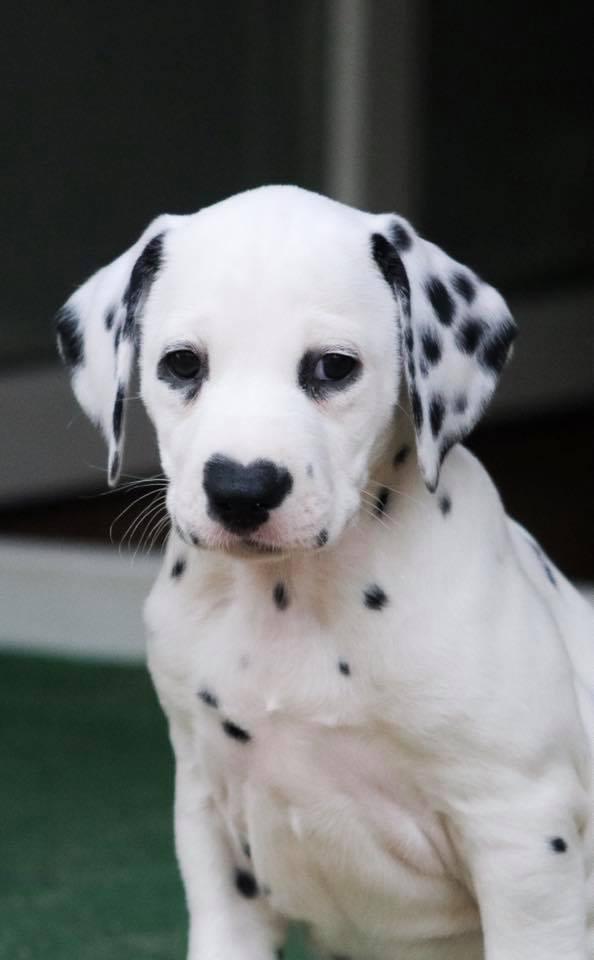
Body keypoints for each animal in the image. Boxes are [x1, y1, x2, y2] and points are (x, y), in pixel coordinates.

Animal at [56, 185, 593, 959]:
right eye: (182, 364)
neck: (291, 600)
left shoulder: (521, 833)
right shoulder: (211, 819)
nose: (241, 488)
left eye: (333, 368)